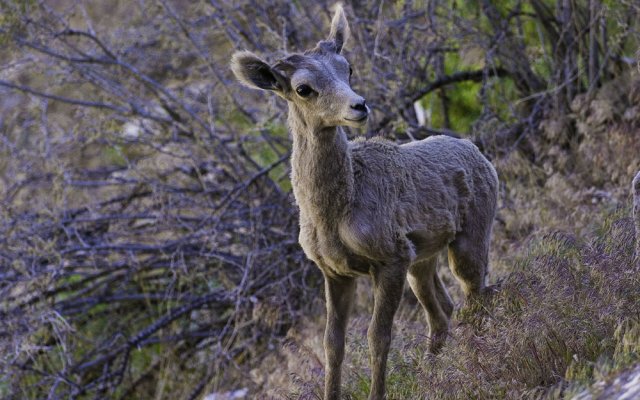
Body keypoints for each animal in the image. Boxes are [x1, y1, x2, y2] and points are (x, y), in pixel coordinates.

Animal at [231, 4, 500, 398]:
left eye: (348, 69)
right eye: (303, 88)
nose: (358, 106)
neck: (333, 211)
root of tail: (479, 154)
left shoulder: (390, 257)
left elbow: (378, 337)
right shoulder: (334, 271)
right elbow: (333, 344)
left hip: (468, 239)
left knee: (476, 295)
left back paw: (477, 364)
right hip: (423, 260)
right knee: (443, 311)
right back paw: (433, 373)